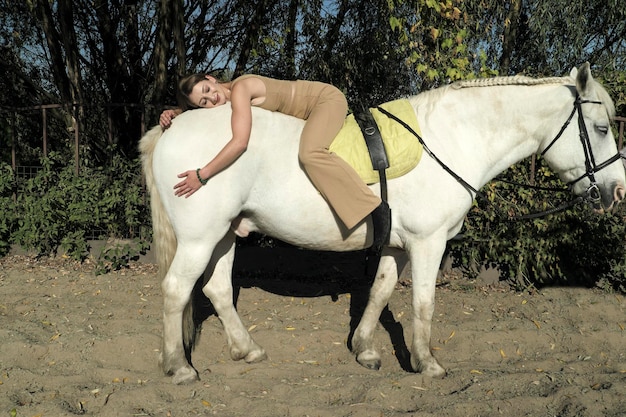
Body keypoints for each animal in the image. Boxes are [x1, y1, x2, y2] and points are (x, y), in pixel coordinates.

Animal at [140, 62, 624, 384]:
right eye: (601, 128)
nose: (617, 190)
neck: (447, 139)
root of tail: (171, 128)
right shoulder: (428, 243)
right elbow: (424, 305)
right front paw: (427, 364)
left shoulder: (396, 245)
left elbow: (380, 292)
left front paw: (365, 350)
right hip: (200, 237)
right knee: (177, 290)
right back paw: (179, 367)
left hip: (225, 233)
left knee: (217, 289)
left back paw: (247, 350)